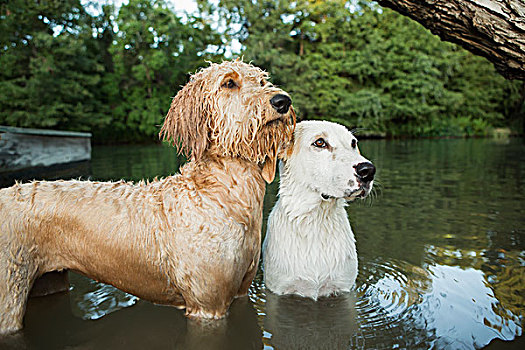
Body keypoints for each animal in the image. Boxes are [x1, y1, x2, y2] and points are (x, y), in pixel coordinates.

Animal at [0, 60, 294, 334]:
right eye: (229, 83)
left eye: (262, 80)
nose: (282, 101)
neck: (221, 196)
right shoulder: (208, 305)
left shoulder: (242, 292)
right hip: (9, 295)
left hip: (49, 282)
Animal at [264, 119, 374, 298]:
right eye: (320, 142)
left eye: (353, 143)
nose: (368, 170)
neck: (316, 221)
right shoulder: (278, 289)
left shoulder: (344, 288)